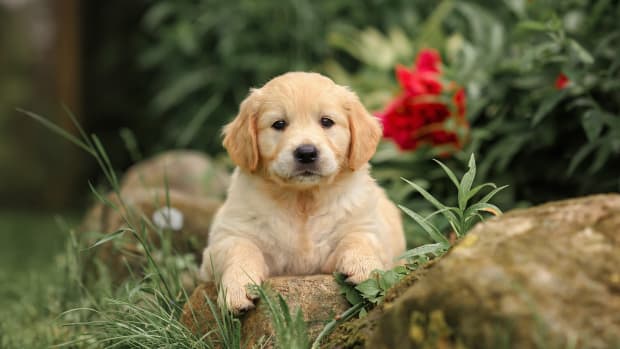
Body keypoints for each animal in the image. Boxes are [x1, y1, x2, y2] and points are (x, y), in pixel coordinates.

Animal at [200, 72, 406, 312]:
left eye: (326, 121)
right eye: (279, 124)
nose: (306, 153)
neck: (303, 200)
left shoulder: (367, 226)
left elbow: (358, 238)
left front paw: (364, 267)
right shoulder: (226, 237)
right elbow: (241, 249)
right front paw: (236, 289)